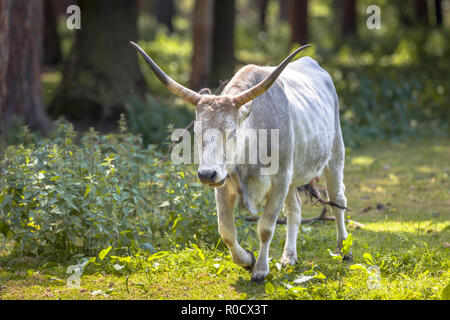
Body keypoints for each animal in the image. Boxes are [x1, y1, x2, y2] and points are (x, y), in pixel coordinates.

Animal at [132, 41, 350, 282]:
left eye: (232, 130)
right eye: (197, 131)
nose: (206, 174)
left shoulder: (280, 181)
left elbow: (265, 227)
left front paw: (261, 270)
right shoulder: (224, 184)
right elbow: (226, 231)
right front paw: (247, 260)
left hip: (335, 153)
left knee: (337, 199)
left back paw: (343, 249)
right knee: (295, 210)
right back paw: (289, 257)